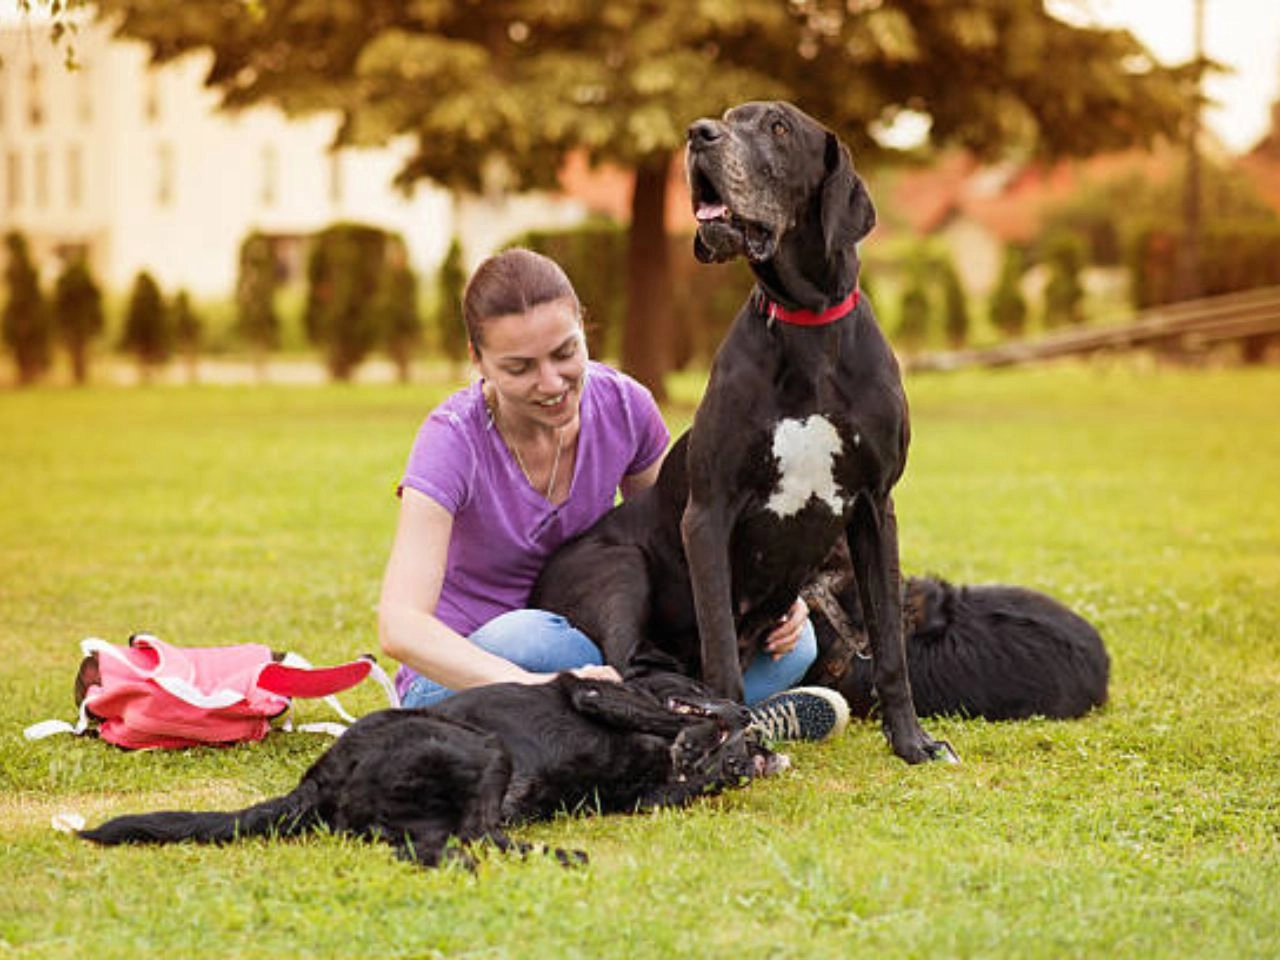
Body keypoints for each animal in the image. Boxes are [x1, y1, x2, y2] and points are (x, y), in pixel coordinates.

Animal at [80, 670, 783, 870]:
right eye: (693, 679)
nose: (758, 753)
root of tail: (318, 777)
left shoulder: (648, 795)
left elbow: (686, 774)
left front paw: (726, 755)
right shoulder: (591, 692)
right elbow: (695, 720)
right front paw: (714, 733)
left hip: (435, 803)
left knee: (437, 844)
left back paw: (546, 856)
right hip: (482, 750)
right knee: (468, 838)